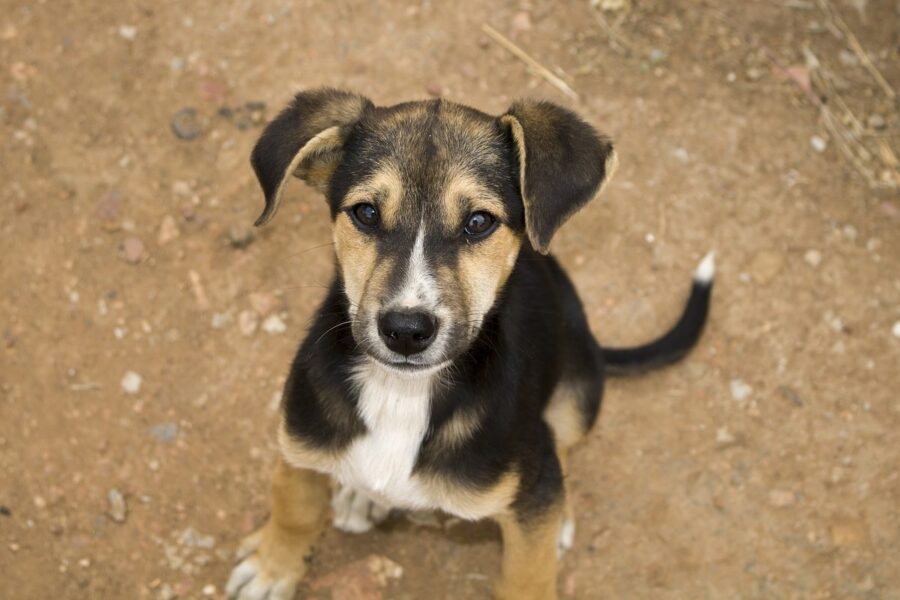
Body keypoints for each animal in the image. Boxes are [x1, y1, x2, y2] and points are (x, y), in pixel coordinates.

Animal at [229, 89, 712, 600]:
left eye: (479, 221)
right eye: (366, 213)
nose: (405, 329)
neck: (403, 394)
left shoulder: (532, 493)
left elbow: (527, 576)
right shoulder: (299, 437)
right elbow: (293, 504)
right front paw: (272, 567)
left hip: (579, 390)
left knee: (562, 443)